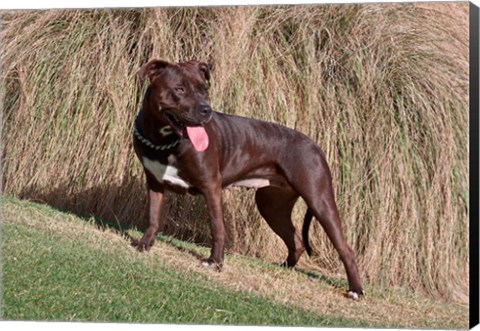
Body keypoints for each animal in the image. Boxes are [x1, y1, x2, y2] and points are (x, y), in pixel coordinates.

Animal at [131, 59, 364, 300]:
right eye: (179, 89)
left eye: (204, 89)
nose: (206, 109)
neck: (163, 140)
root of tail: (315, 145)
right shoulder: (154, 183)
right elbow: (153, 217)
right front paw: (144, 244)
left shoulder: (211, 186)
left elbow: (217, 226)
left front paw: (215, 262)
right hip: (271, 206)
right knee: (296, 240)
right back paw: (285, 267)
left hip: (320, 200)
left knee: (345, 248)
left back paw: (355, 290)